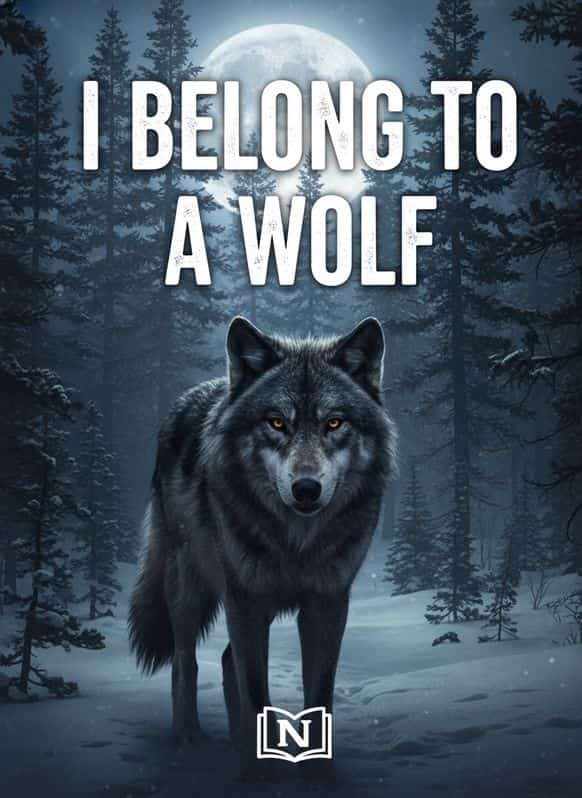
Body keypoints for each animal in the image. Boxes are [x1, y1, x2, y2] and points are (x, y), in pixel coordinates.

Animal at [129, 316, 395, 778]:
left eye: (334, 424)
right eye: (276, 423)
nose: (306, 489)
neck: (296, 543)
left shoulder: (327, 602)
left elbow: (318, 693)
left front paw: (317, 775)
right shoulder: (246, 599)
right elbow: (255, 690)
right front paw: (256, 775)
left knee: (224, 661)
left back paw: (237, 740)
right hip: (190, 588)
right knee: (185, 660)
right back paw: (189, 739)